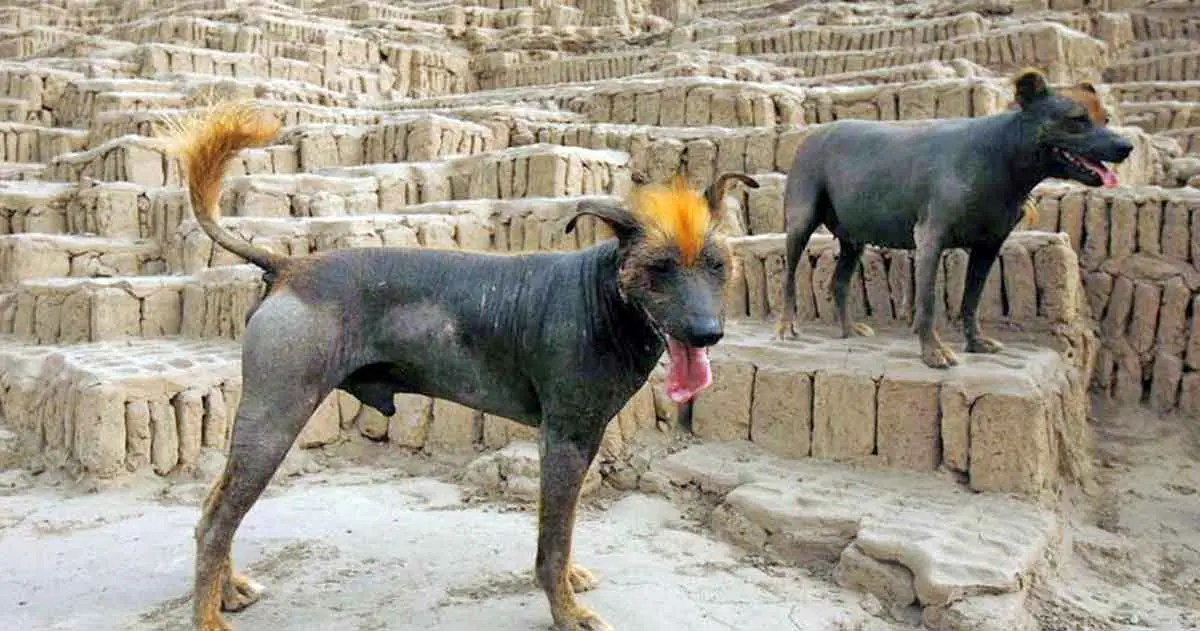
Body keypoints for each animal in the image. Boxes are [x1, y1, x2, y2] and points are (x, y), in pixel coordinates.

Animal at [772, 66, 1128, 369]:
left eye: (1106, 117)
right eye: (1077, 119)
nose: (1127, 146)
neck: (1000, 154)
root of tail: (810, 136)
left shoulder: (988, 247)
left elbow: (971, 301)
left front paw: (975, 342)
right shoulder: (930, 240)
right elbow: (928, 303)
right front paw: (933, 351)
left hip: (853, 239)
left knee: (839, 282)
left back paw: (849, 329)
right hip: (800, 223)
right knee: (789, 279)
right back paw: (786, 325)